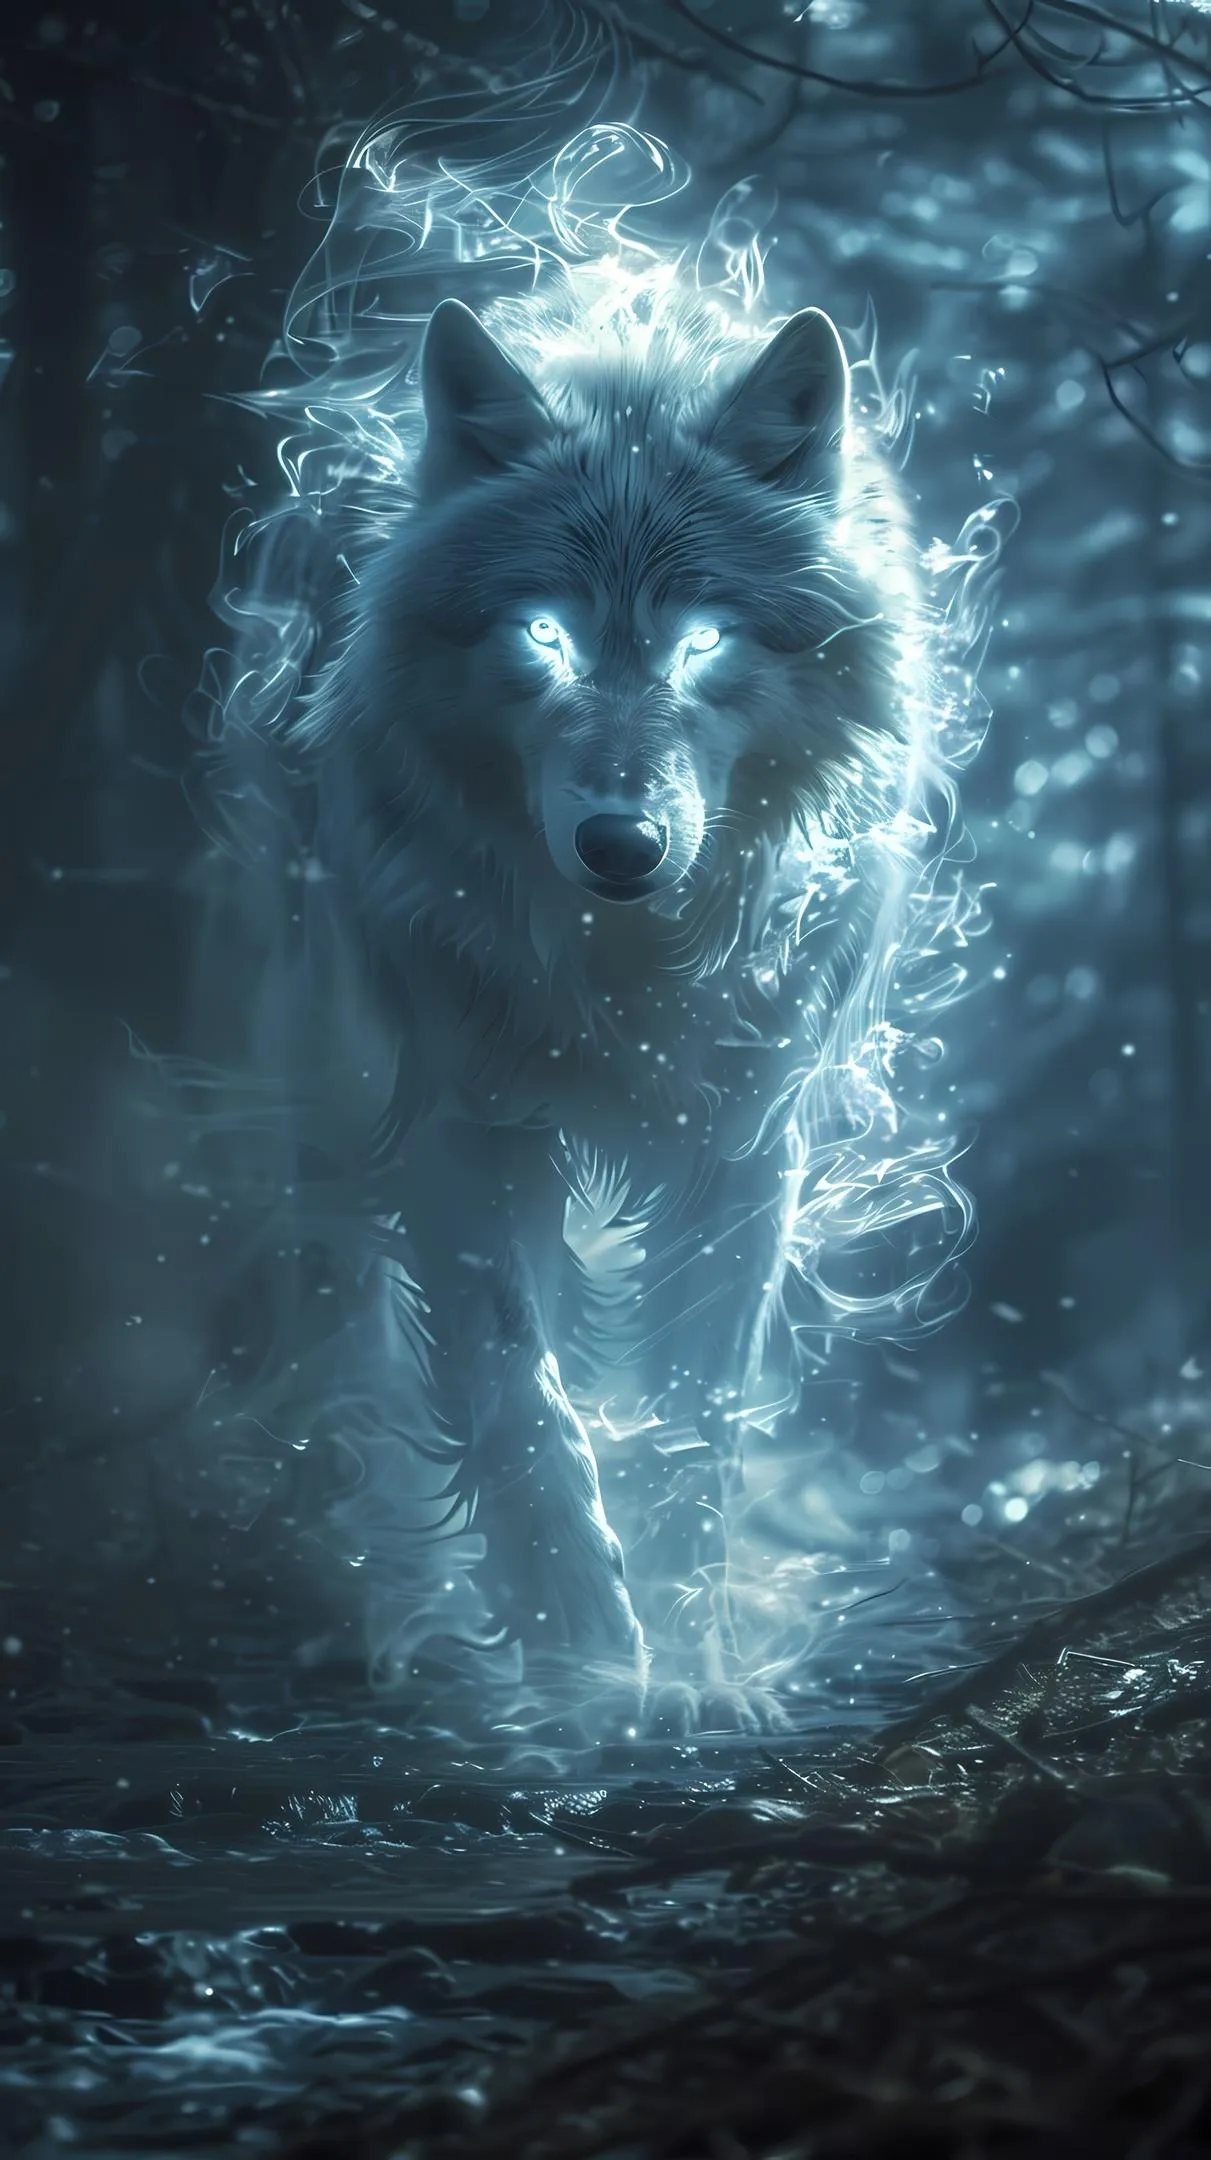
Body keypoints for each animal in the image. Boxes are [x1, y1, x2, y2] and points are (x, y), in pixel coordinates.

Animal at [287, 285, 909, 1734]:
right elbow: (519, 1398)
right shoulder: (458, 1124)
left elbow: (693, 1418)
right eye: (544, 636)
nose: (621, 845)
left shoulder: (741, 1139)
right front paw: (579, 1663)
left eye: (703, 641)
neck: (619, 962)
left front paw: (692, 1672)